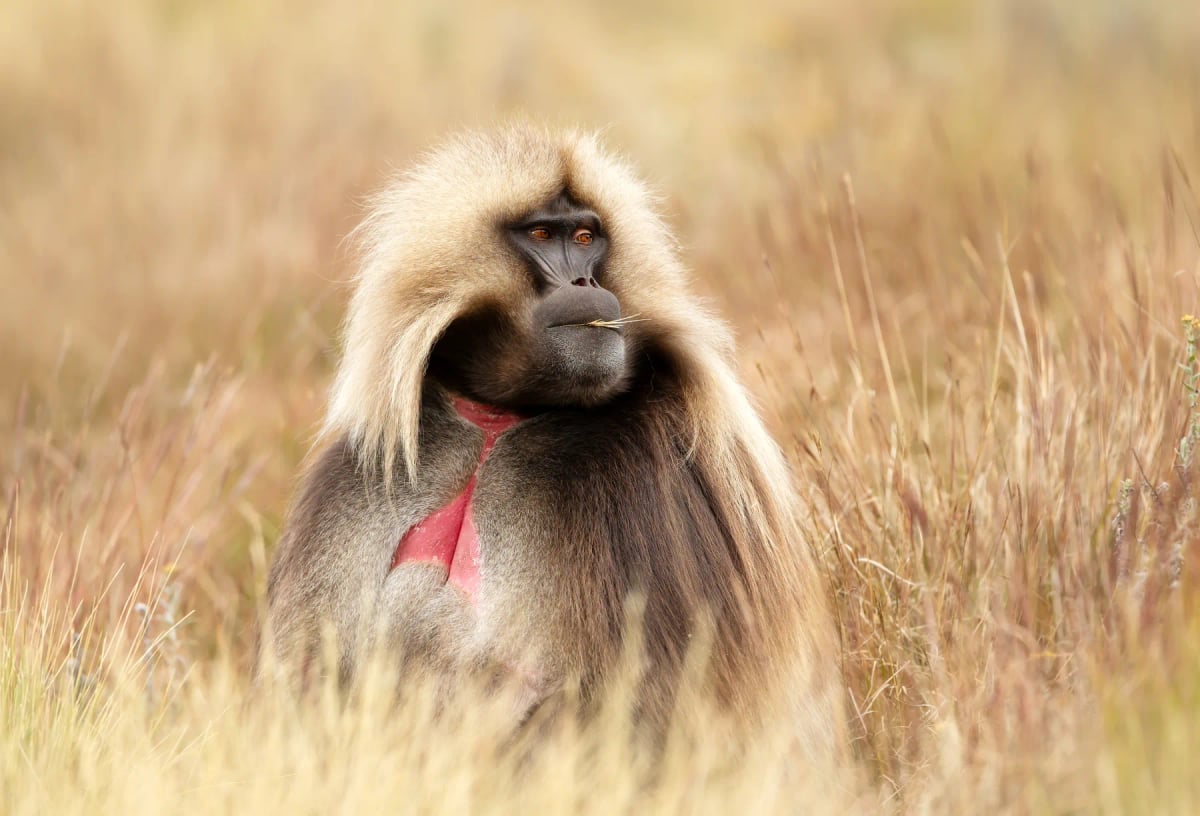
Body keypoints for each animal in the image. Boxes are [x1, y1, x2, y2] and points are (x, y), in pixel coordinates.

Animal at [263, 124, 844, 757]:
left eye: (587, 238)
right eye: (543, 234)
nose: (585, 282)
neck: (503, 417)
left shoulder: (652, 465)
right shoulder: (356, 473)